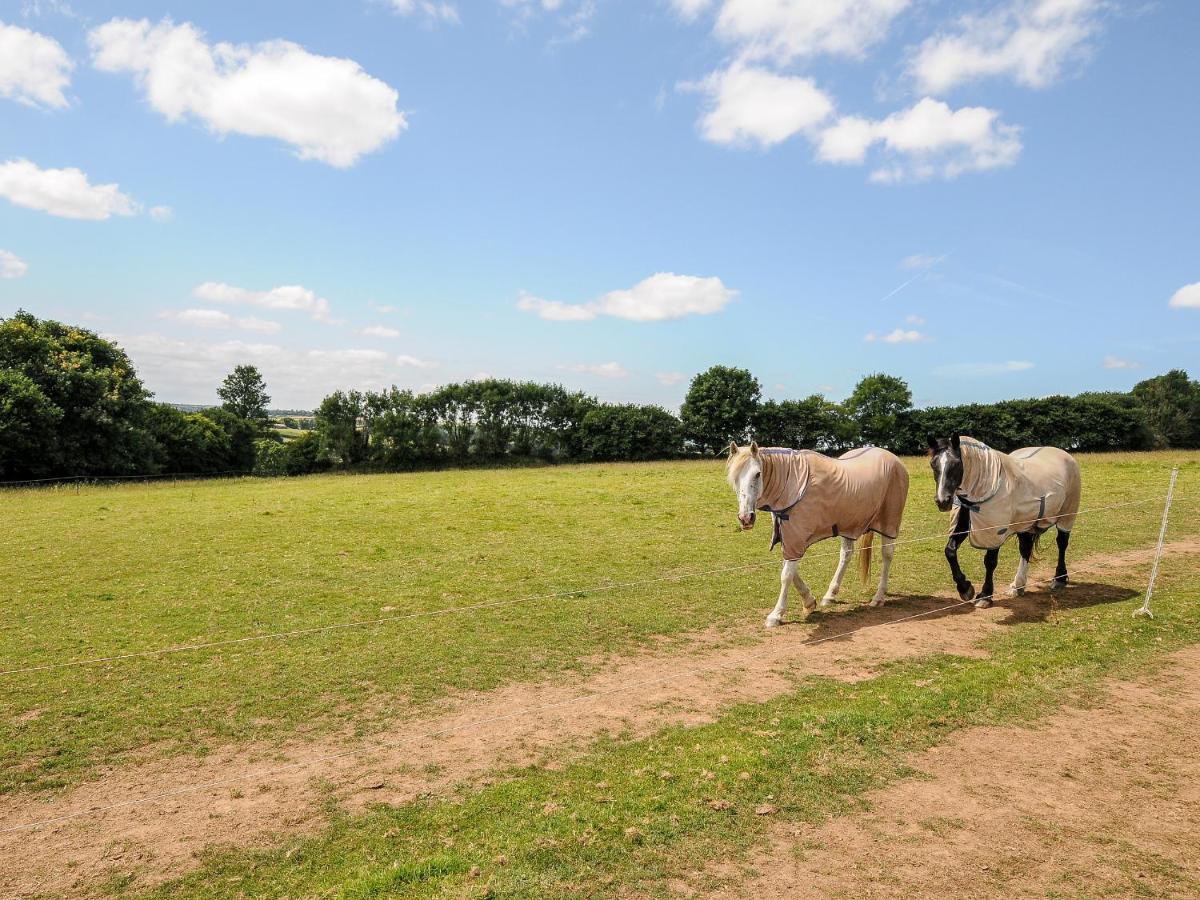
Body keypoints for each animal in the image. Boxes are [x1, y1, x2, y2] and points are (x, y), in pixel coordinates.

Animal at [720, 441, 907, 628]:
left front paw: (776, 615)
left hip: (888, 523)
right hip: (849, 525)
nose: (745, 518)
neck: (793, 483)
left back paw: (879, 597)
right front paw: (809, 602)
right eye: (734, 477)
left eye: (758, 474)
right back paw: (830, 595)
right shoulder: (789, 538)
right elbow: (789, 570)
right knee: (846, 555)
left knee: (887, 555)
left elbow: (786, 575)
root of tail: (894, 459)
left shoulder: (796, 538)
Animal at [921, 434, 1084, 609]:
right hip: (1025, 523)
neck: (990, 484)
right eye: (933, 464)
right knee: (1025, 549)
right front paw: (965, 589)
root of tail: (1064, 454)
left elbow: (990, 561)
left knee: (1062, 543)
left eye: (957, 463)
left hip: (1067, 514)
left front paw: (985, 595)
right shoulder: (965, 524)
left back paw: (1059, 579)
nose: (942, 501)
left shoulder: (995, 530)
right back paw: (1018, 586)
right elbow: (950, 551)